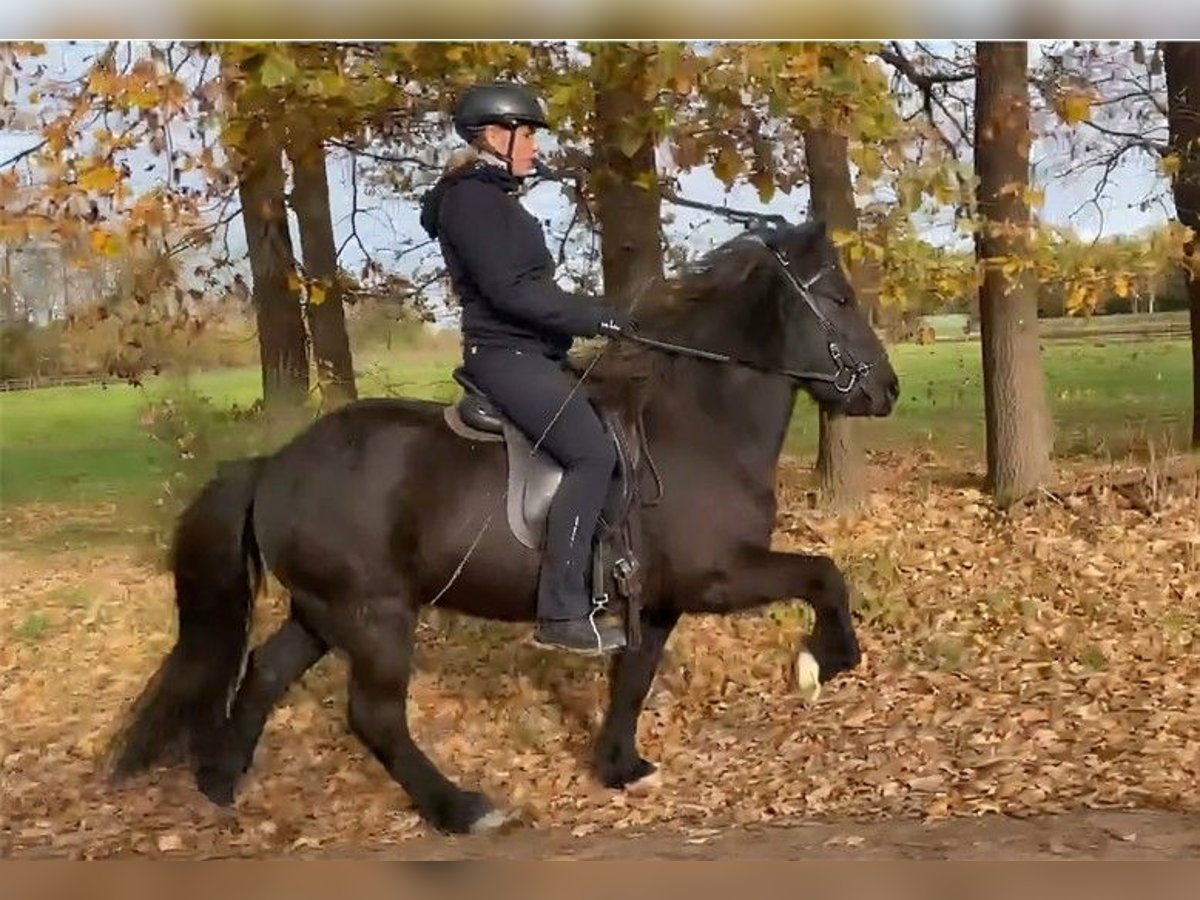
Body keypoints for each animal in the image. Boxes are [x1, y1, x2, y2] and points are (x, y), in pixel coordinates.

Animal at [106, 218, 900, 836]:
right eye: (838, 298)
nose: (886, 389)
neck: (697, 425)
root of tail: (274, 464)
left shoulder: (658, 599)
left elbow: (633, 677)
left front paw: (620, 766)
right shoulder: (719, 574)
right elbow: (825, 575)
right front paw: (821, 663)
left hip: (324, 611)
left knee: (266, 673)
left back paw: (221, 783)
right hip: (373, 615)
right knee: (374, 716)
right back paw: (459, 809)